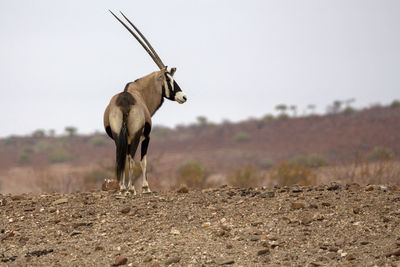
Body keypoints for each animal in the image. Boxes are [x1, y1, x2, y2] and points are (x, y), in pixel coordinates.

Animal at [104, 11, 189, 195]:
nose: (183, 97)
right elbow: (143, 161)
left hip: (118, 135)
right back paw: (130, 189)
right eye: (169, 79)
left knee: (121, 158)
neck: (138, 92)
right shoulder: (147, 136)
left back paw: (122, 188)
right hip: (135, 135)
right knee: (131, 158)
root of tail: (124, 102)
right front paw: (145, 188)